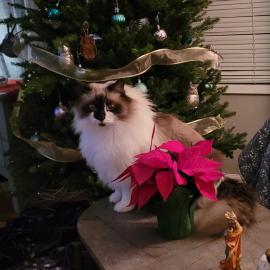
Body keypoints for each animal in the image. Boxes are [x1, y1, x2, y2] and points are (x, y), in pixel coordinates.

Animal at [72, 79, 255, 234]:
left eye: (110, 106)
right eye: (92, 107)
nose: (100, 117)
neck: (109, 132)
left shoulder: (129, 169)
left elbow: (127, 192)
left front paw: (123, 206)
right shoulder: (111, 166)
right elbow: (118, 188)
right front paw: (114, 198)